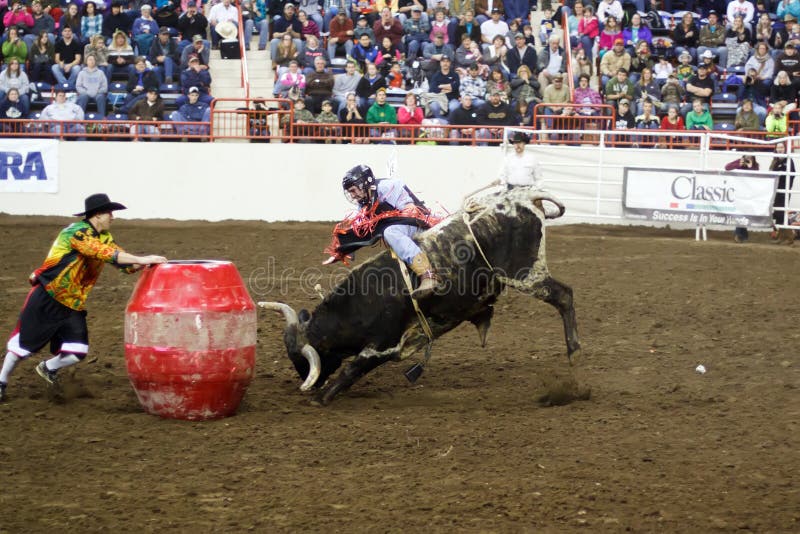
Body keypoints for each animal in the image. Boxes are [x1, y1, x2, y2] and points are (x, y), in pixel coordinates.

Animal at [260, 188, 580, 406]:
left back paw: (574, 357)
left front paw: (322, 397)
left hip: (526, 273)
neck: (359, 303)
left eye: (303, 360)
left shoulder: (384, 345)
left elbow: (354, 367)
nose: (309, 383)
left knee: (564, 296)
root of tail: (525, 197)